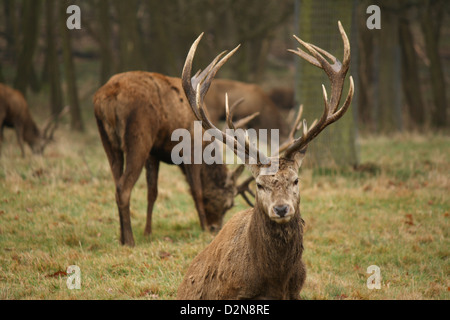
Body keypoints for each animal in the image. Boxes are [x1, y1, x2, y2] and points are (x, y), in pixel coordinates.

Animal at [93, 70, 256, 245]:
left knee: (116, 182)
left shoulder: (153, 153)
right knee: (123, 187)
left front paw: (148, 232)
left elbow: (152, 192)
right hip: (138, 137)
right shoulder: (192, 150)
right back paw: (130, 240)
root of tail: (108, 97)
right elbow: (196, 191)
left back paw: (122, 238)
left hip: (108, 140)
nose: (215, 228)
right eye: (229, 204)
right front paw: (203, 228)